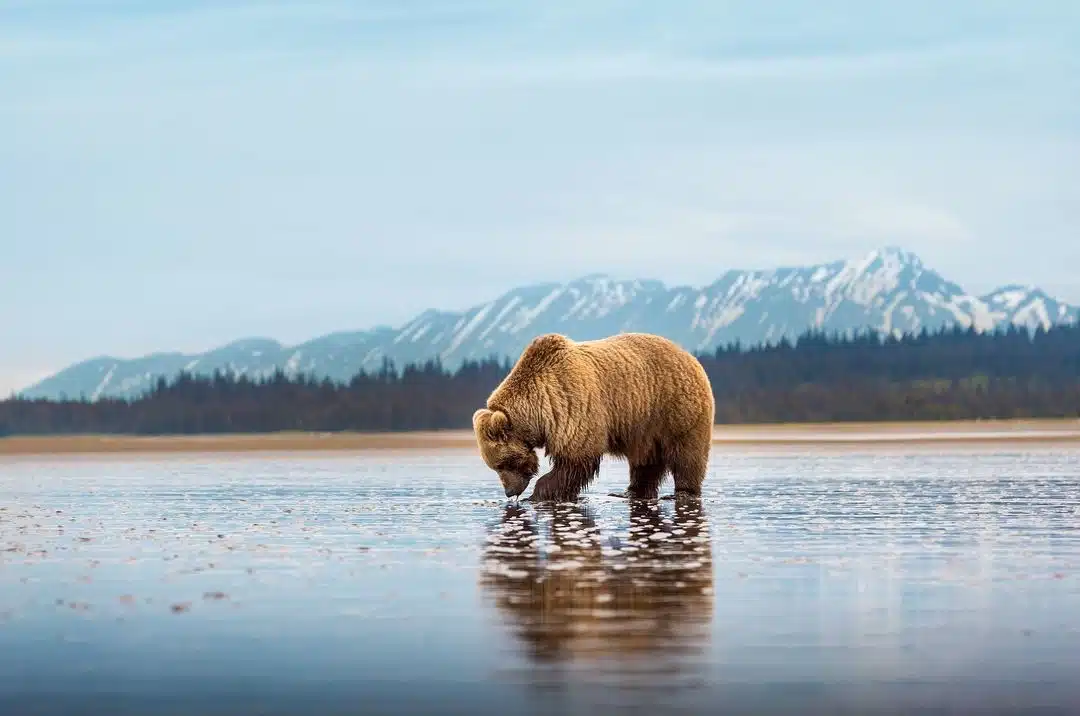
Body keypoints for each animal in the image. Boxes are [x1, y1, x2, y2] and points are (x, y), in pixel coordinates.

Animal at [473, 332, 717, 503]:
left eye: (504, 463)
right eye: (494, 466)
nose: (509, 492)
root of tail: (690, 356)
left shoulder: (571, 404)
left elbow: (576, 458)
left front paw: (537, 495)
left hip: (675, 409)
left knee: (687, 454)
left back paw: (683, 492)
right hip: (645, 425)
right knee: (645, 461)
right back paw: (631, 492)